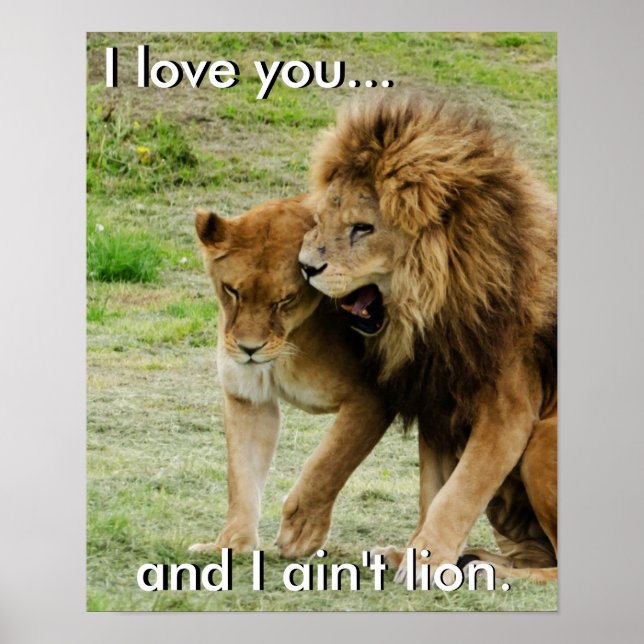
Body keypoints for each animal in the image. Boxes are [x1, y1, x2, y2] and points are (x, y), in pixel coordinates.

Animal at [189, 196, 392, 557]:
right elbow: (241, 476)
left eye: (285, 299)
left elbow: (329, 463)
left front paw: (302, 530)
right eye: (232, 291)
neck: (290, 341)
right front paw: (230, 544)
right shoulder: (248, 398)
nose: (249, 349)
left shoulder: (374, 396)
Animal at [298, 96, 558, 583]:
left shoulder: (511, 411)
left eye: (362, 228)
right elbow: (432, 489)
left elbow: (461, 490)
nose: (305, 266)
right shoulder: (438, 398)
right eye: (322, 219)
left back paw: (492, 573)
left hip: (541, 442)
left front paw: (427, 559)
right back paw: (473, 558)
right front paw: (413, 553)